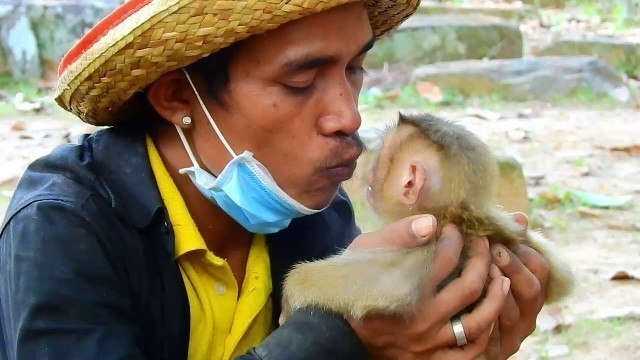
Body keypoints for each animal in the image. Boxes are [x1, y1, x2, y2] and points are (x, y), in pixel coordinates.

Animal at [282, 112, 572, 320]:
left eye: (380, 164)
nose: (369, 173)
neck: (455, 215)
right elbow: (561, 279)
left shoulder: (432, 241)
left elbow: (394, 285)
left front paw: (292, 290)